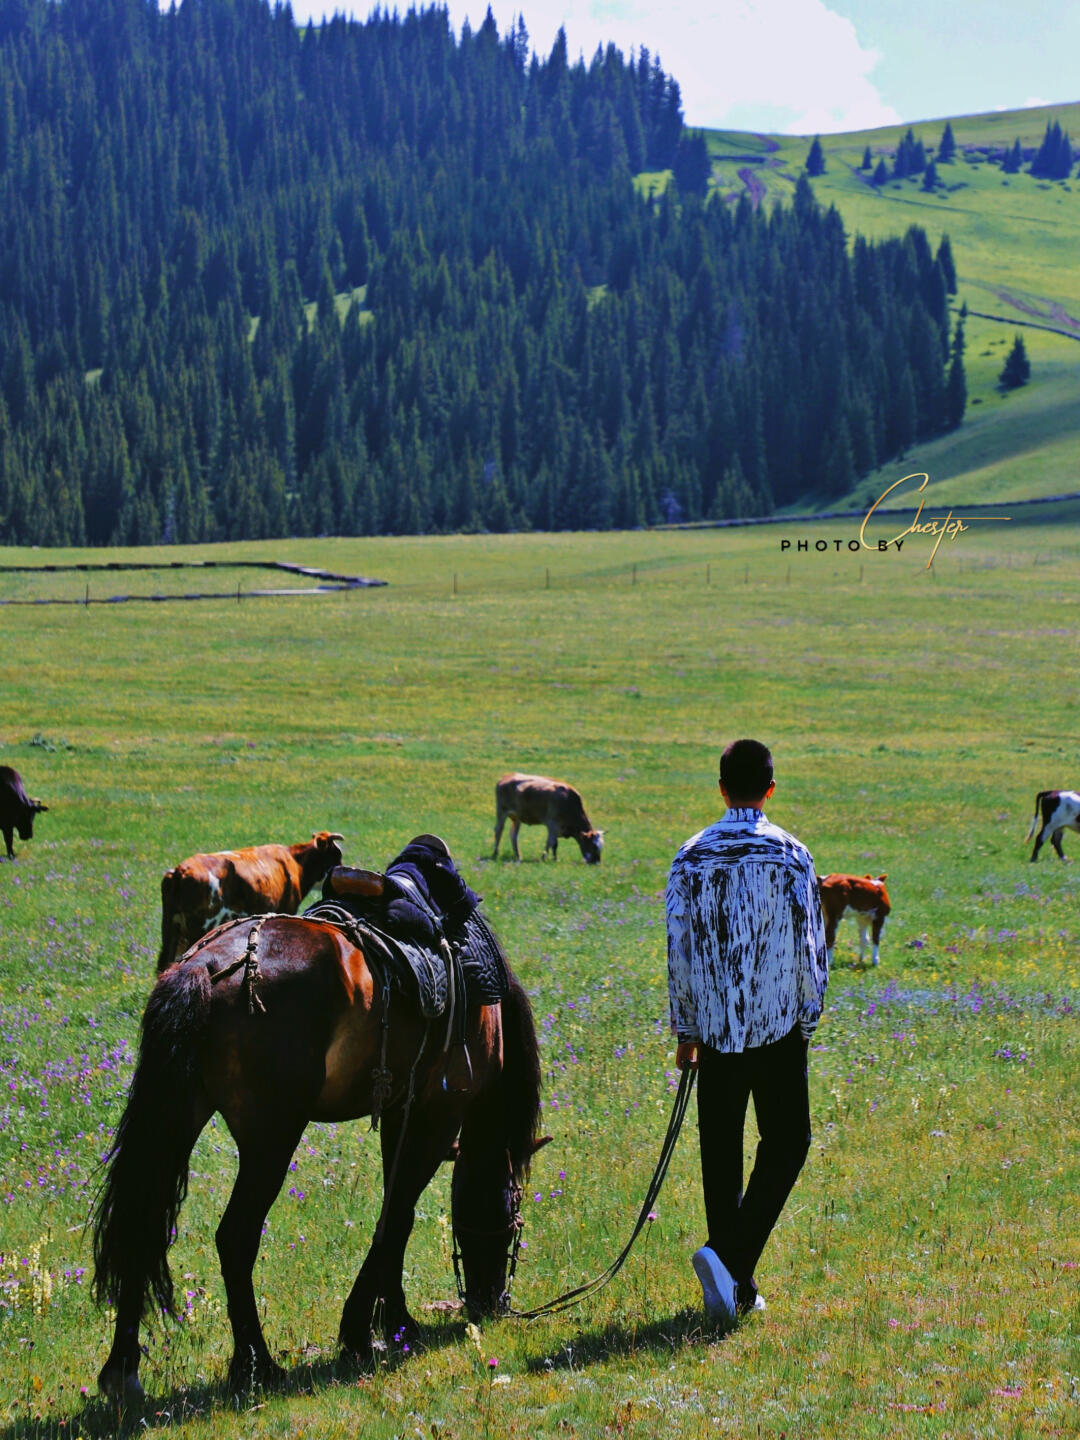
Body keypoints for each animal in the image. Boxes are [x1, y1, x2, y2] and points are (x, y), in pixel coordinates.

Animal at [91, 915, 541, 1399]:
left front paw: (393, 1321)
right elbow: (399, 1215)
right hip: (271, 1140)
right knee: (235, 1237)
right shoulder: (434, 1116)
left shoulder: (400, 1111)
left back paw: (122, 1369)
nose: (491, 1302)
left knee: (141, 1225)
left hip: (180, 1117)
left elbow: (394, 1216)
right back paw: (257, 1364)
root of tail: (204, 967)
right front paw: (364, 1330)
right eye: (514, 1211)